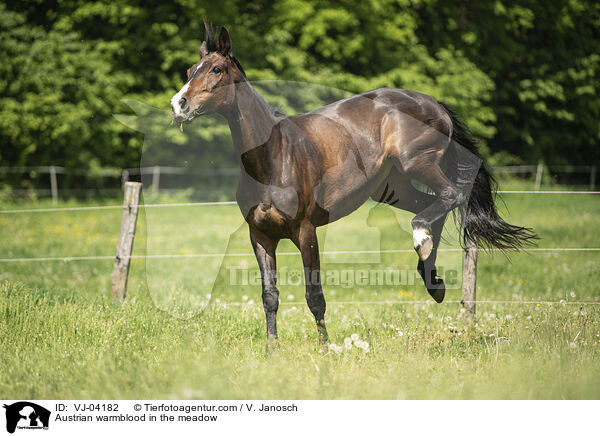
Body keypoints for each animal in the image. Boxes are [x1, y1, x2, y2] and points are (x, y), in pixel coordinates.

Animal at [171, 24, 536, 350]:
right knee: (431, 205)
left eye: (217, 69)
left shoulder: (306, 232)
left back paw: (422, 245)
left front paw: (325, 348)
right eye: (190, 70)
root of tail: (434, 104)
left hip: (418, 164)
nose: (179, 105)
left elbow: (314, 296)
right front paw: (272, 350)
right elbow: (269, 296)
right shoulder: (260, 236)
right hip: (393, 188)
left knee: (449, 196)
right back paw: (432, 280)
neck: (273, 158)